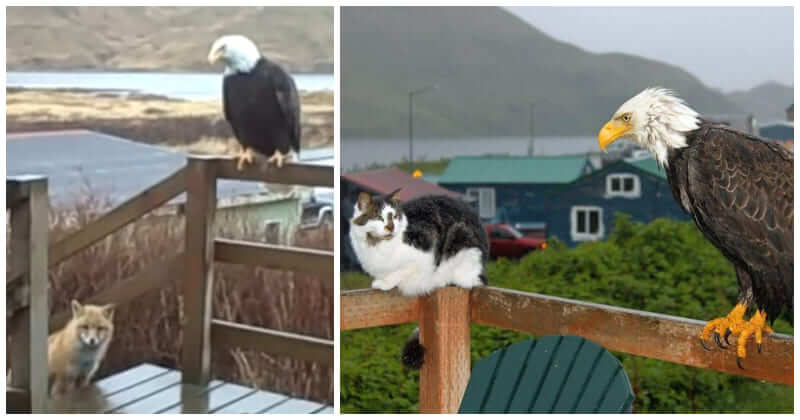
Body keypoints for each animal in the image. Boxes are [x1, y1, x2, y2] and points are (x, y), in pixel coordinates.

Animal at [348, 189, 488, 296]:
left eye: (395, 216)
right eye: (379, 218)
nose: (391, 227)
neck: (378, 244)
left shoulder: (424, 254)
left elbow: (400, 271)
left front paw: (384, 283)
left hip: (462, 243)